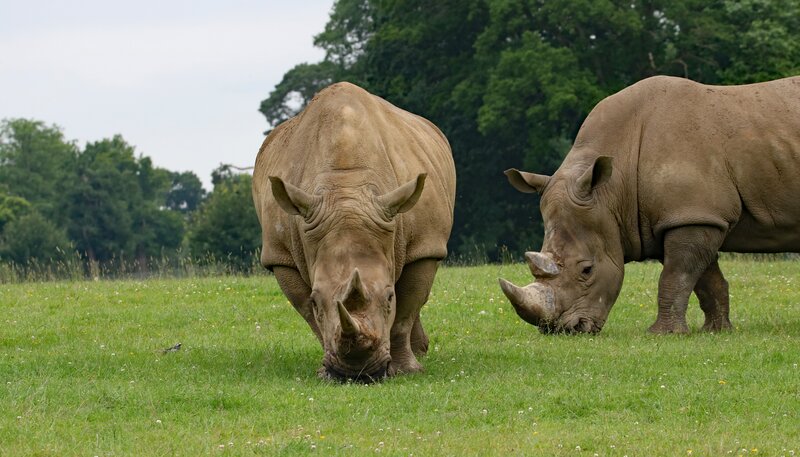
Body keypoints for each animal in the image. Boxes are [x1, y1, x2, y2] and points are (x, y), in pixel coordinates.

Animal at [252, 82, 456, 380]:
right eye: (316, 299)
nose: (356, 374)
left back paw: (420, 352)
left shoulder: (425, 244)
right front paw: (324, 371)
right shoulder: (280, 255)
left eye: (389, 297)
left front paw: (407, 371)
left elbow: (405, 311)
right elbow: (310, 315)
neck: (345, 186)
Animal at [499, 75, 800, 334]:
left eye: (587, 270)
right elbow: (705, 278)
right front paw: (716, 331)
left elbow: (677, 274)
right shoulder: (685, 216)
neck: (612, 189)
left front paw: (663, 334)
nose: (566, 330)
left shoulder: (693, 215)